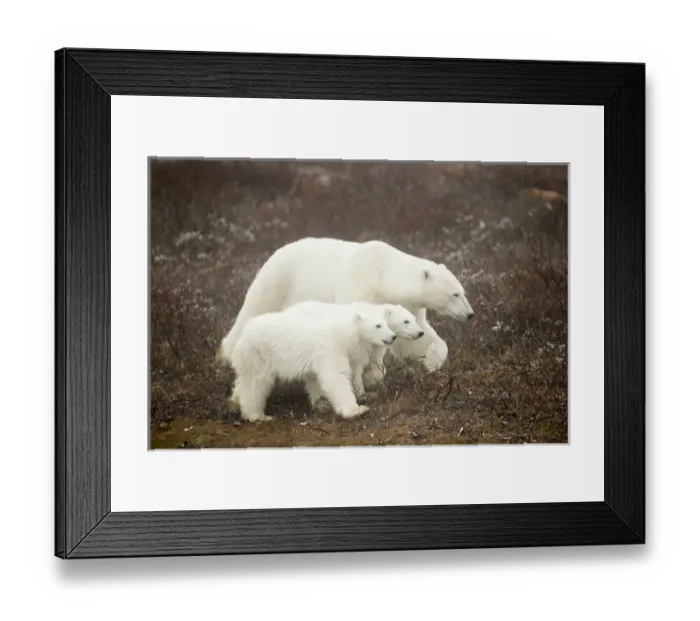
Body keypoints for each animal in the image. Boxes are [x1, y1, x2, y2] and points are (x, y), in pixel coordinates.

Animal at [217, 237, 474, 376]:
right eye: (455, 293)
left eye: (463, 291)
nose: (470, 314)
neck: (383, 273)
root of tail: (276, 252)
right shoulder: (359, 284)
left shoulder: (409, 306)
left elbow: (415, 336)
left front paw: (431, 361)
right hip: (278, 282)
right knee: (253, 312)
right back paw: (229, 356)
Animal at [227, 304, 397, 422]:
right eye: (378, 325)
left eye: (386, 323)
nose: (393, 336)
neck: (343, 332)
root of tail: (243, 334)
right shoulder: (331, 348)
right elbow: (335, 377)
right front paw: (356, 410)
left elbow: (315, 379)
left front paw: (321, 403)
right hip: (258, 355)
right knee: (256, 384)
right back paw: (257, 415)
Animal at [283, 300, 424, 399]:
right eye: (406, 321)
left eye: (414, 319)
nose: (421, 332)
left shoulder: (374, 345)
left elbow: (374, 364)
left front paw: (367, 384)